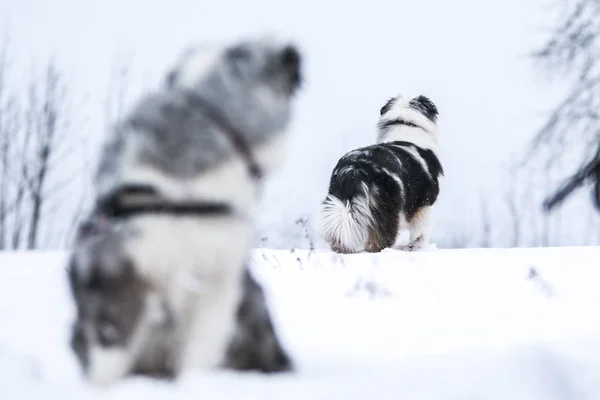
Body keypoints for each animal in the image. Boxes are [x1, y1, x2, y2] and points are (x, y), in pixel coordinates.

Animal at [318, 94, 440, 253]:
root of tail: (355, 169)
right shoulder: (424, 204)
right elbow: (421, 232)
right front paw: (416, 247)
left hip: (339, 204)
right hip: (386, 210)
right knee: (380, 240)